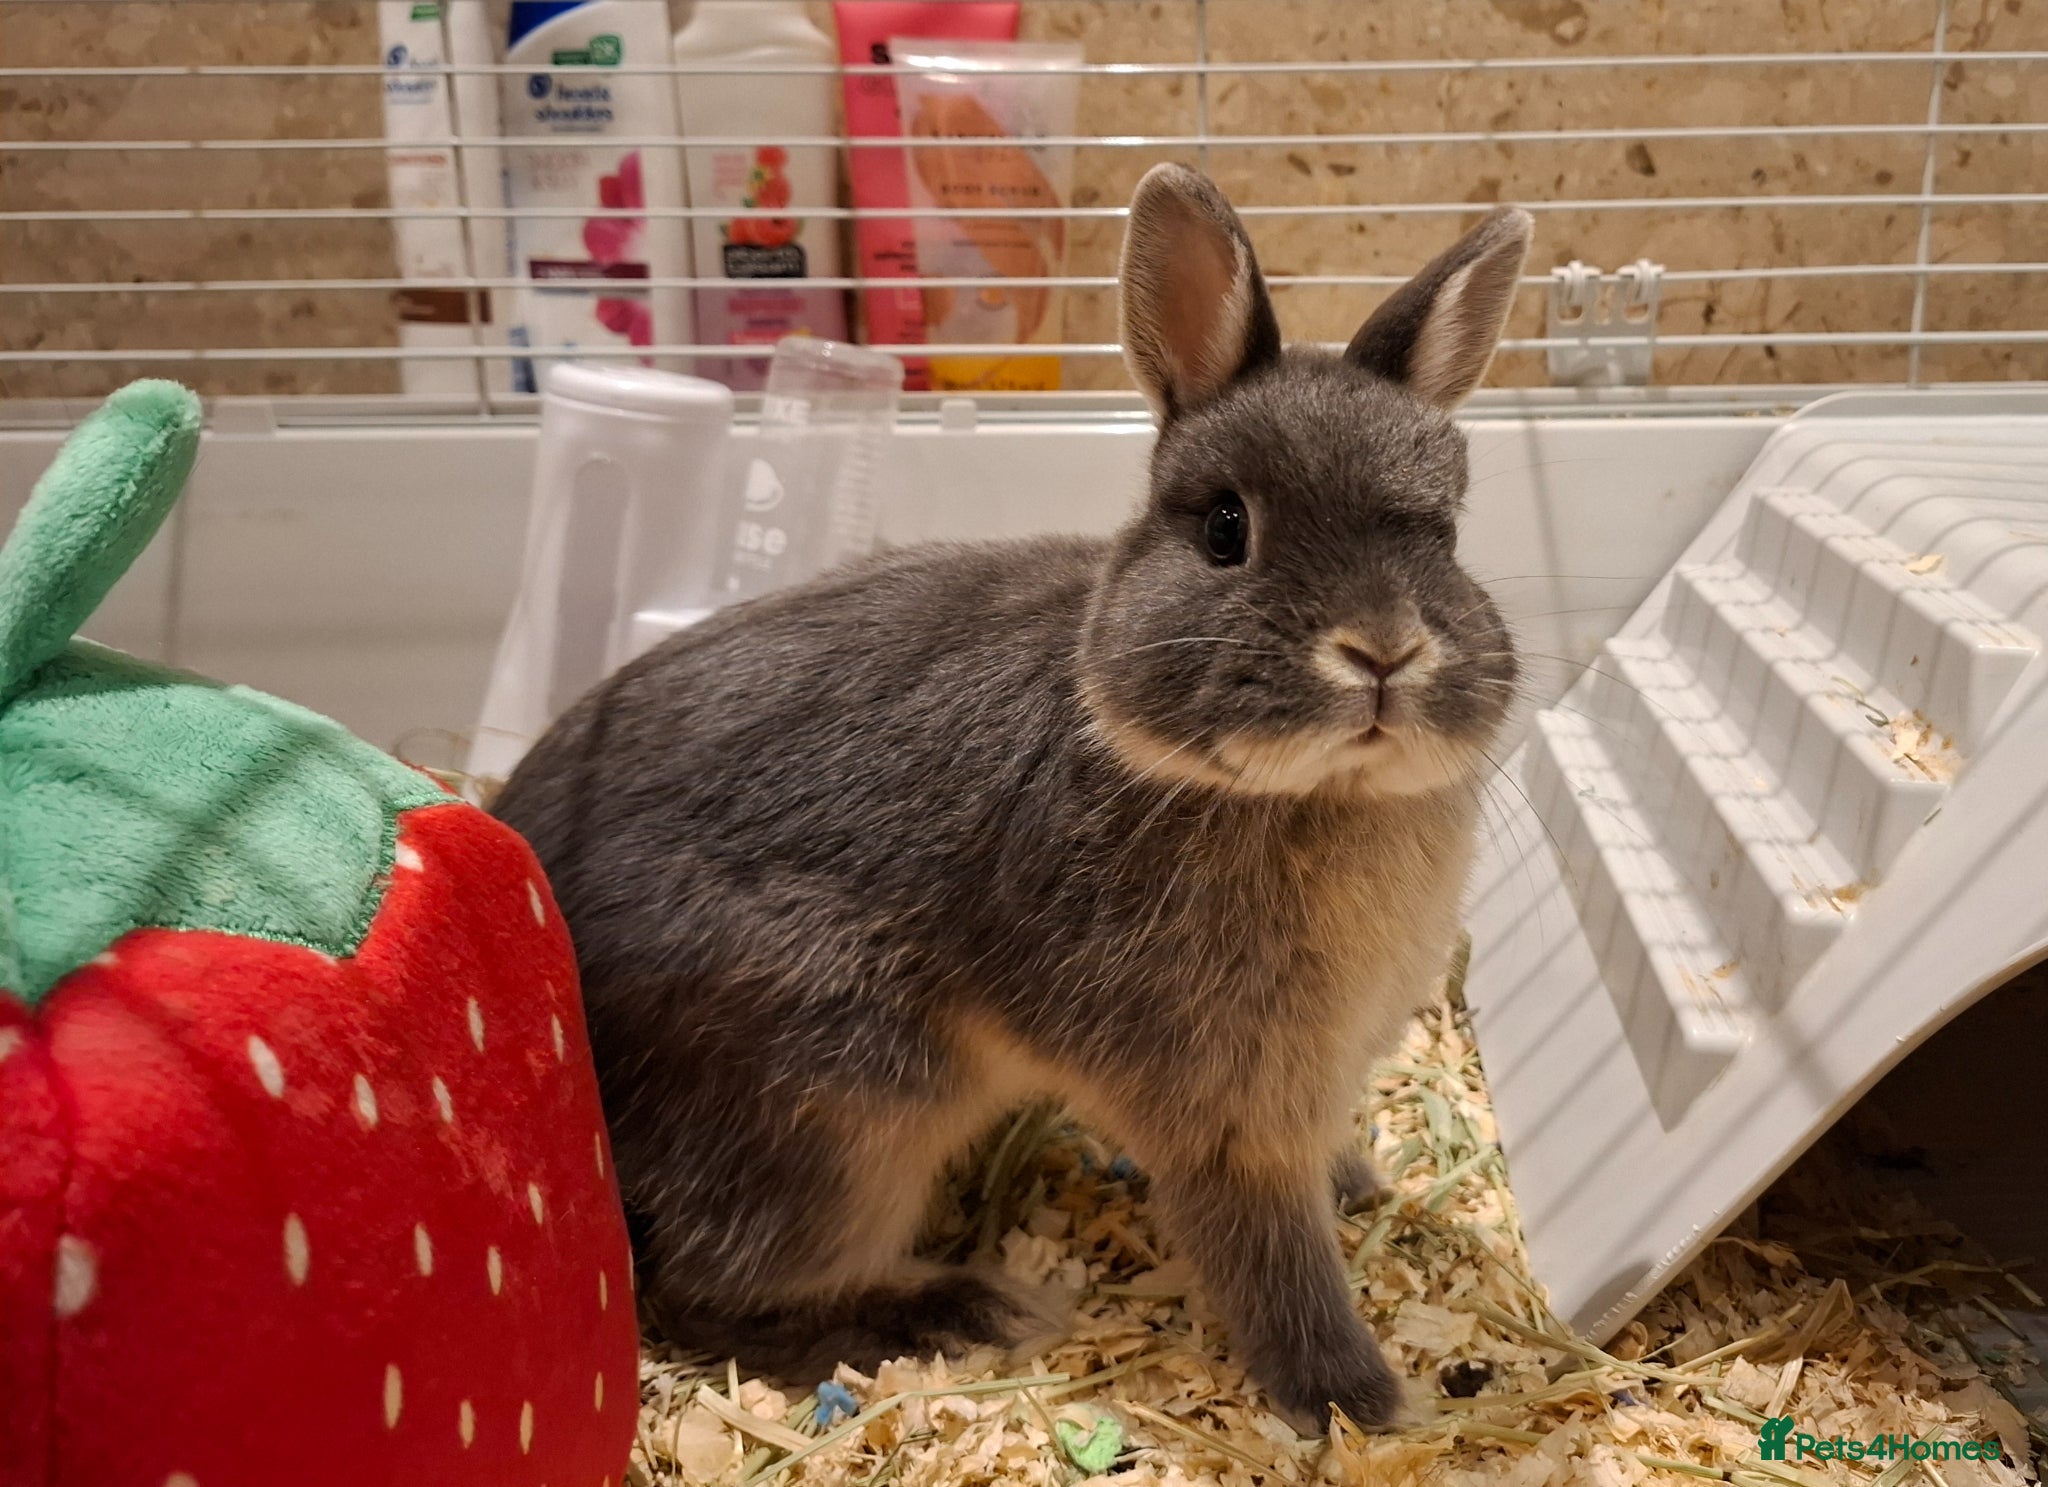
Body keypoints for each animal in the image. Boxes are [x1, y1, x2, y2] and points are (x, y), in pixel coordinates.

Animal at [490, 162, 1531, 1432]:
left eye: (1446, 532)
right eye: (1225, 527)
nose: (1381, 651)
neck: (1305, 794)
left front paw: (1360, 1184)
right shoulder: (1224, 1110)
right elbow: (1270, 1256)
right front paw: (1356, 1401)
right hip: (840, 1115)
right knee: (710, 1287)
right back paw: (957, 1308)